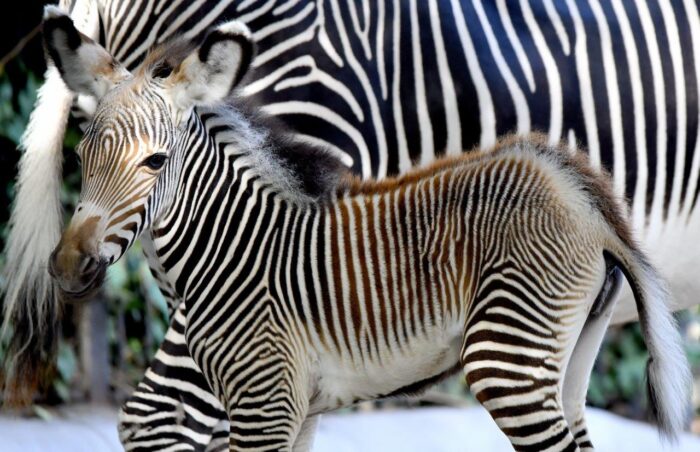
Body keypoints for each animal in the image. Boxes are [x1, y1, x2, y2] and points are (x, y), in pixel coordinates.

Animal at [0, 0, 696, 448]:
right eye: (83, 155)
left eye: (156, 162)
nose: (67, 266)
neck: (227, 246)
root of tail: (580, 194)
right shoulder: (297, 410)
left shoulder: (264, 403)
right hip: (568, 361)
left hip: (509, 360)